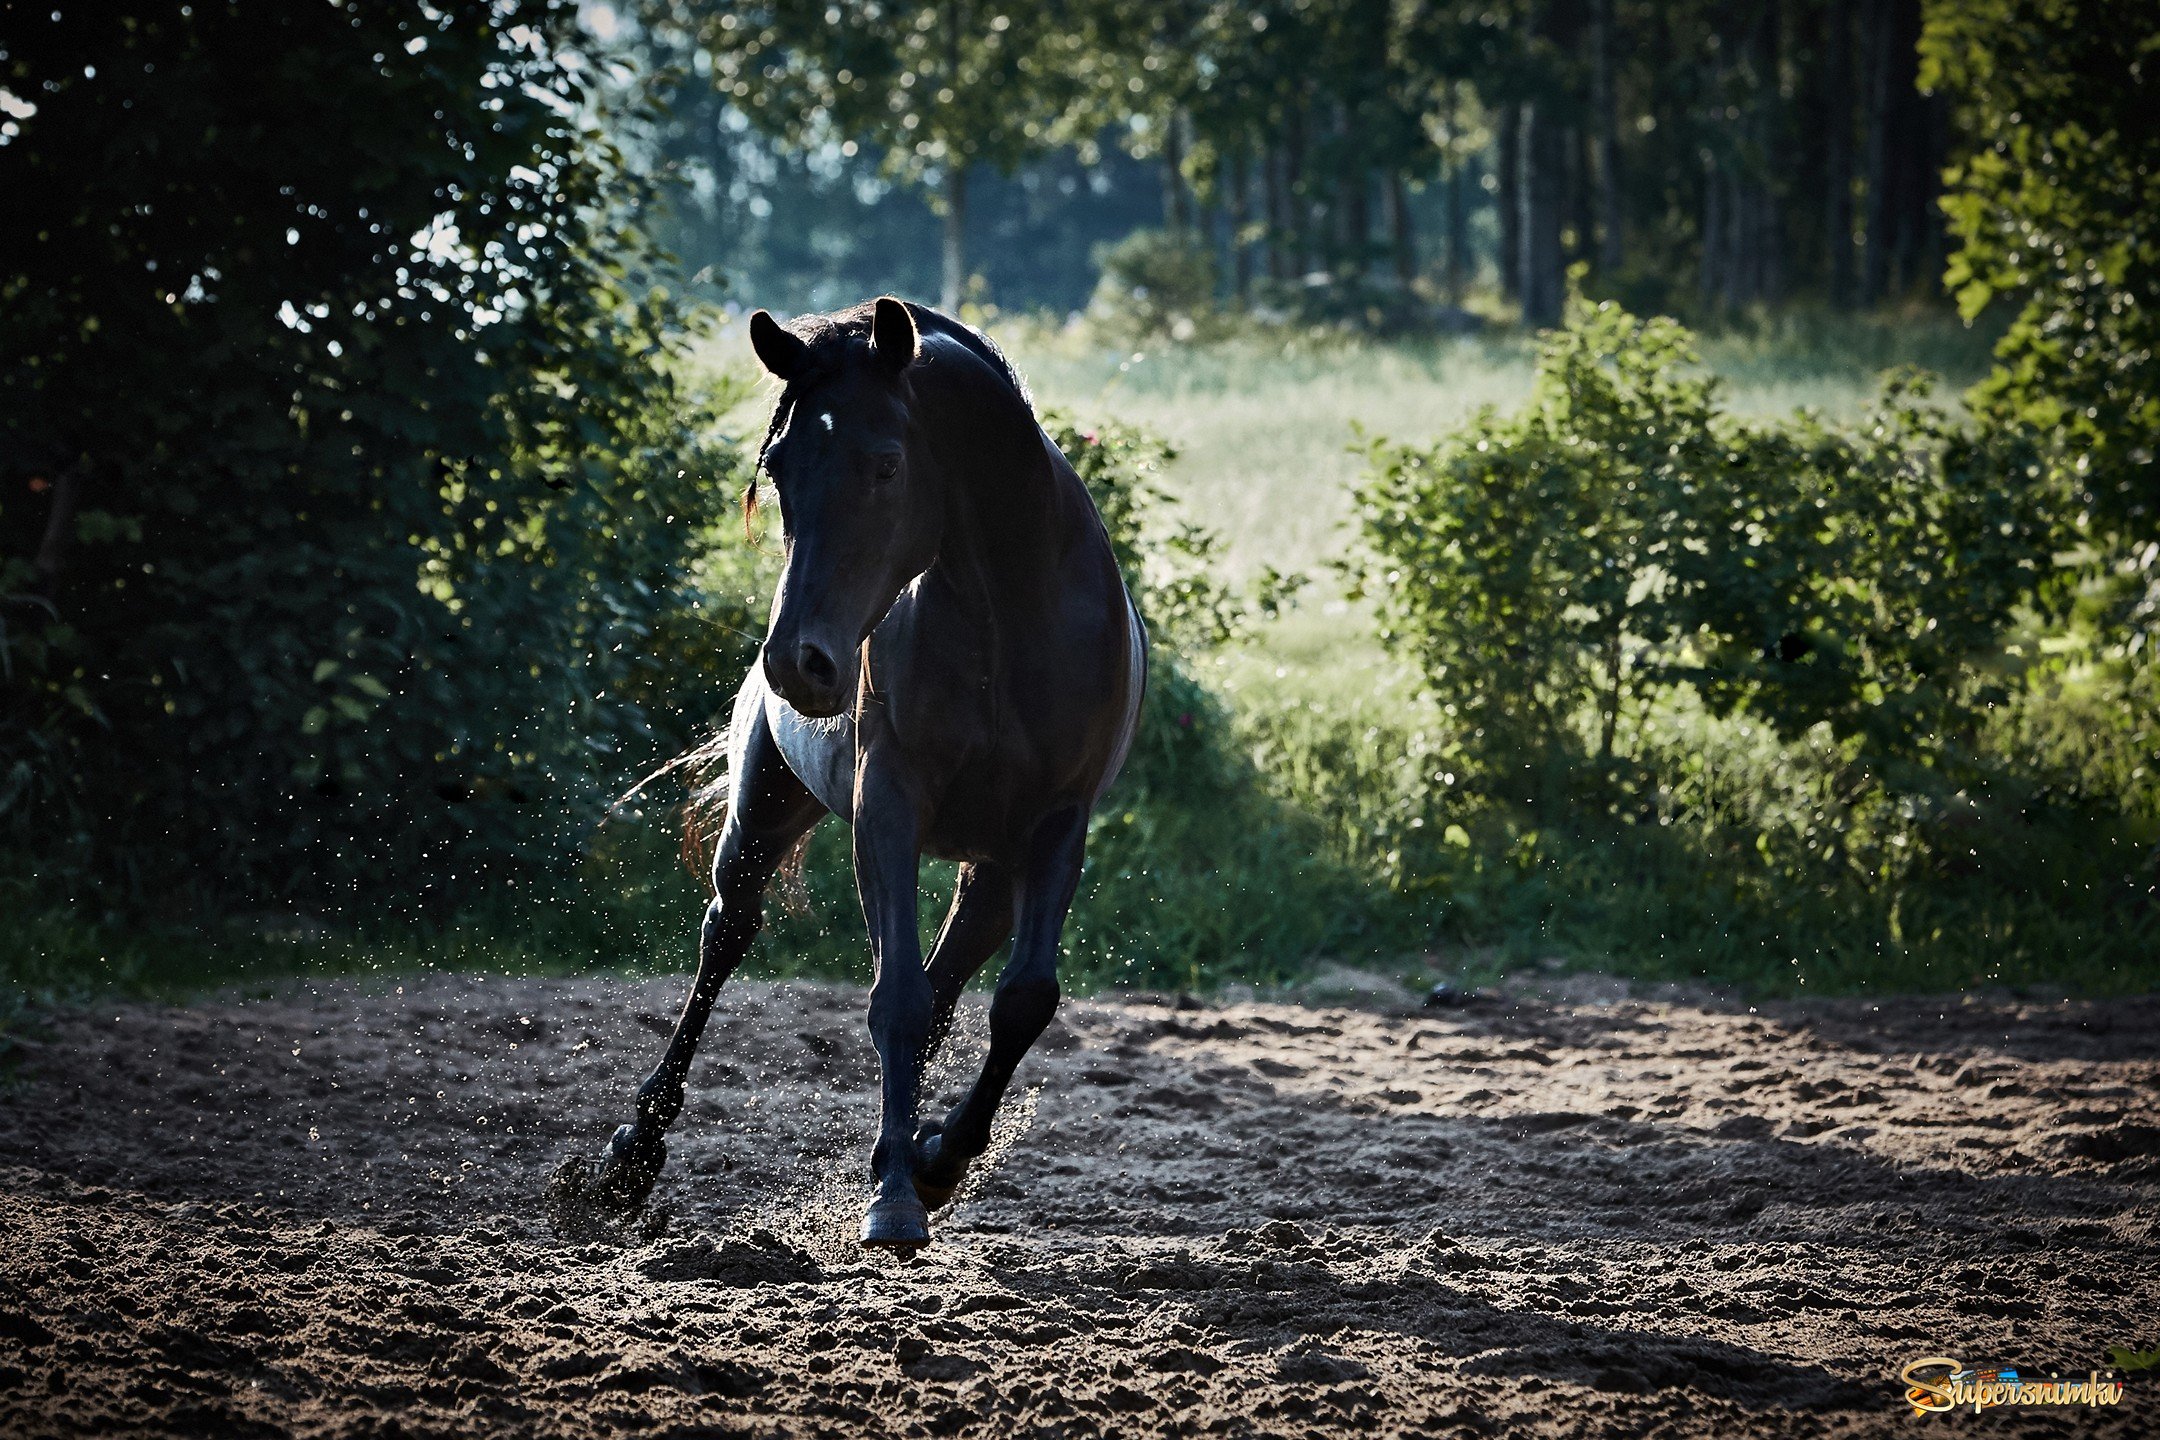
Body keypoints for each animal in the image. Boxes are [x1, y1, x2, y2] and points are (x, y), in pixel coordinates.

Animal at [570, 302, 1149, 1252]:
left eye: (886, 463)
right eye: (778, 466)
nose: (798, 666)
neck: (1011, 615)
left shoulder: (1057, 827)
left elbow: (1020, 1002)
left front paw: (936, 1161)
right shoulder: (886, 813)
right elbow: (897, 1002)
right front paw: (895, 1196)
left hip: (993, 873)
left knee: (954, 985)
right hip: (763, 816)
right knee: (726, 936)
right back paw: (631, 1160)